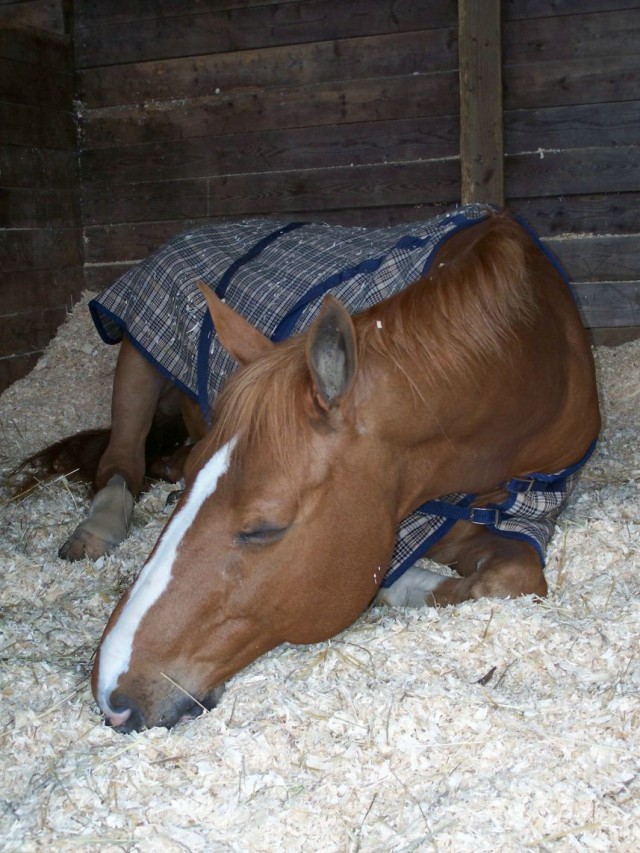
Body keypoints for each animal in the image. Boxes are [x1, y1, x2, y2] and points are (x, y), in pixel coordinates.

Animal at [21, 208, 600, 733]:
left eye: (264, 528)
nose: (112, 695)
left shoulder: (528, 516)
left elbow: (515, 578)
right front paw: (394, 585)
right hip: (136, 364)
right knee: (120, 461)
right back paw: (96, 530)